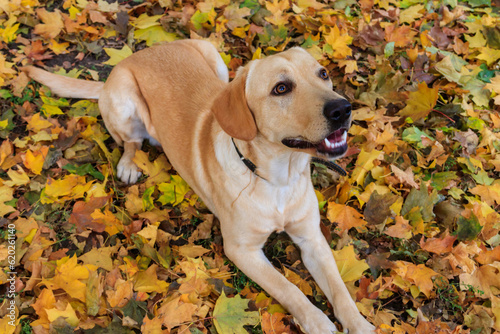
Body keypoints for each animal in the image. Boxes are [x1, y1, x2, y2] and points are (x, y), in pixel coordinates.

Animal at [23, 39, 376, 334]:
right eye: (281, 88)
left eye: (323, 74)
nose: (342, 108)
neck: (277, 178)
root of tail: (140, 53)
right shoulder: (242, 250)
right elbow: (288, 289)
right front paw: (317, 322)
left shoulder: (311, 237)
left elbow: (340, 290)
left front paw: (359, 324)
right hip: (125, 104)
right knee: (131, 142)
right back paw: (128, 163)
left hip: (211, 53)